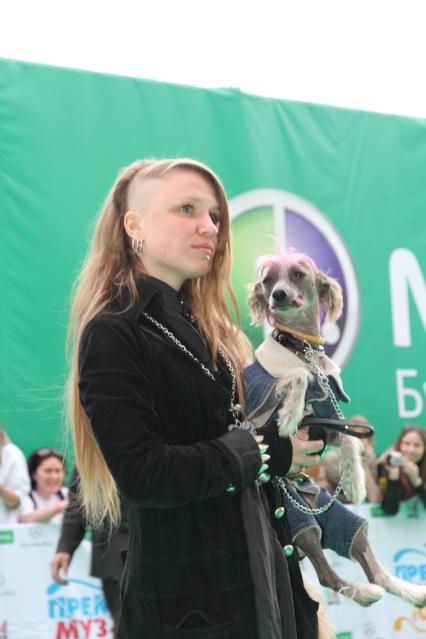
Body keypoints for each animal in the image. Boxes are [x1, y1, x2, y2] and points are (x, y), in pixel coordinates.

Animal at [243, 248, 426, 608]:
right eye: (267, 280)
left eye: (298, 274)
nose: (277, 295)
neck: (301, 349)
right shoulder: (260, 403)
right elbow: (297, 377)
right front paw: (290, 414)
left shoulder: (326, 427)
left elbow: (350, 441)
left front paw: (355, 482)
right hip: (303, 524)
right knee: (327, 575)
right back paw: (365, 594)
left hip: (337, 516)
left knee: (370, 564)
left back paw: (410, 592)